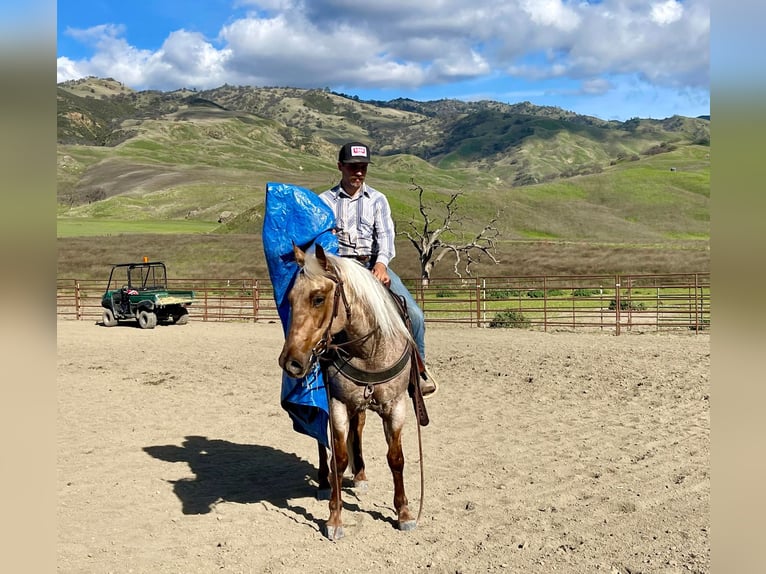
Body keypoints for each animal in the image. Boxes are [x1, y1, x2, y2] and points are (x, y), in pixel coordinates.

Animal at [280, 244, 426, 540]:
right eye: (290, 298)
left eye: (318, 298)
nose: (291, 362)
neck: (369, 350)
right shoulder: (337, 403)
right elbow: (339, 456)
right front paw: (334, 519)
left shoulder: (395, 406)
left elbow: (396, 458)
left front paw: (404, 514)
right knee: (322, 441)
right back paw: (324, 482)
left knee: (358, 430)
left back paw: (360, 475)